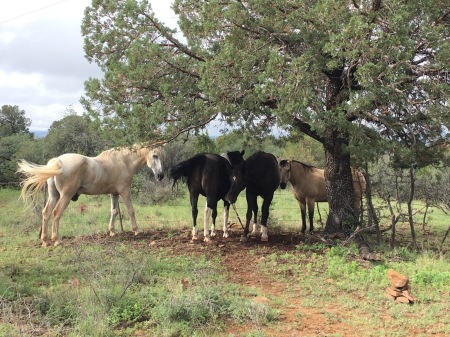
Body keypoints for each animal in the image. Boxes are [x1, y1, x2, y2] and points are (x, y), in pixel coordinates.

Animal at [18, 143, 165, 245]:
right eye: (155, 155)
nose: (160, 176)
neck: (123, 161)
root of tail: (57, 161)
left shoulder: (114, 194)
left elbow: (114, 211)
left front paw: (112, 231)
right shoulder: (125, 192)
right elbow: (131, 211)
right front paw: (137, 230)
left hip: (54, 196)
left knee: (46, 213)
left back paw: (45, 240)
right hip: (65, 196)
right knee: (56, 213)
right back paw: (56, 240)